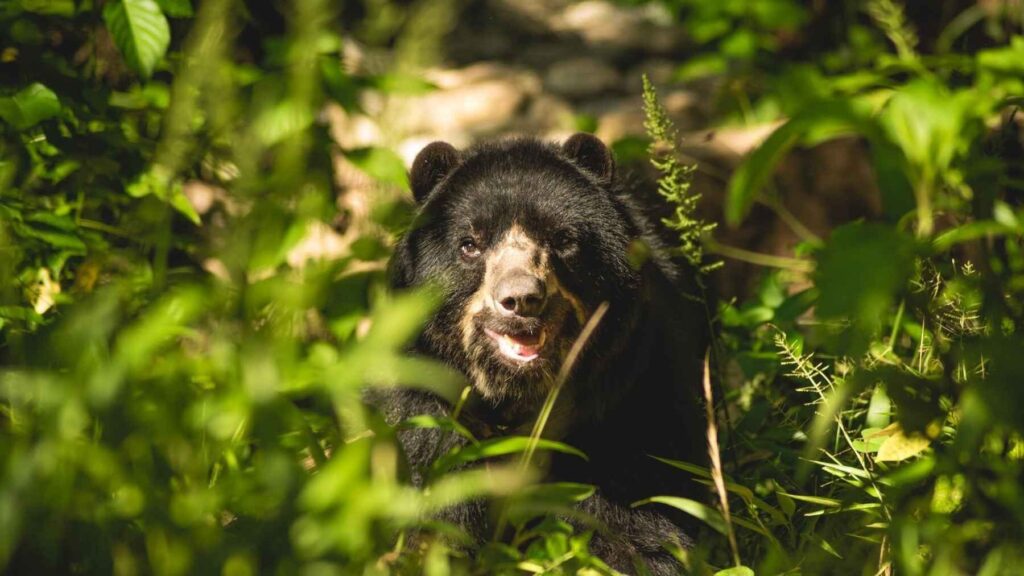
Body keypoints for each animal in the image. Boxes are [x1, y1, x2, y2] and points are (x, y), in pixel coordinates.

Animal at [376, 133, 709, 574]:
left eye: (563, 239)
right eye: (470, 245)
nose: (521, 299)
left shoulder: (630, 388)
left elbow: (645, 514)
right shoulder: (427, 404)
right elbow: (437, 507)